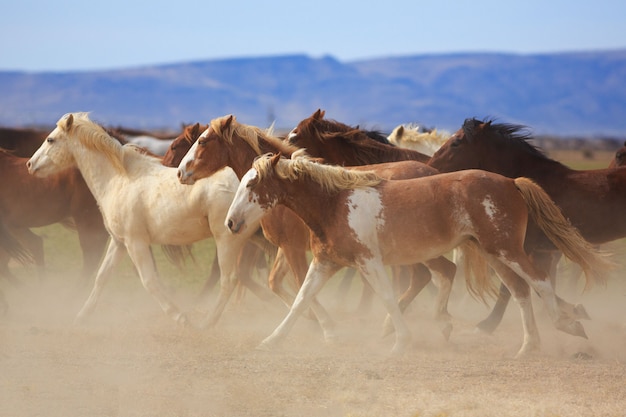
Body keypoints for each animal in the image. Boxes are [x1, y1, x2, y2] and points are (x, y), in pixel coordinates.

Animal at [26, 112, 276, 326]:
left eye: (50, 139)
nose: (30, 164)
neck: (118, 178)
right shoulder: (119, 242)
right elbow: (102, 277)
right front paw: (81, 317)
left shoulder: (135, 243)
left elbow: (149, 282)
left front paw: (180, 317)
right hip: (254, 238)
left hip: (228, 240)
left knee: (230, 279)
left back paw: (208, 322)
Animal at [225, 154, 608, 356]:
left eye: (252, 184)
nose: (231, 222)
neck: (335, 204)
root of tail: (511, 182)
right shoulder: (325, 263)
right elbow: (300, 301)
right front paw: (272, 340)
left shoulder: (369, 263)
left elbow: (389, 298)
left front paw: (400, 342)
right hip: (494, 253)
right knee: (520, 290)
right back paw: (529, 346)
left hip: (506, 249)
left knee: (539, 281)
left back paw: (568, 324)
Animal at [426, 118, 624, 334]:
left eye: (456, 142)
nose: (429, 167)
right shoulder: (540, 252)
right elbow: (541, 284)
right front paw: (573, 310)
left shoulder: (521, 248)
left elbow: (512, 286)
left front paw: (487, 325)